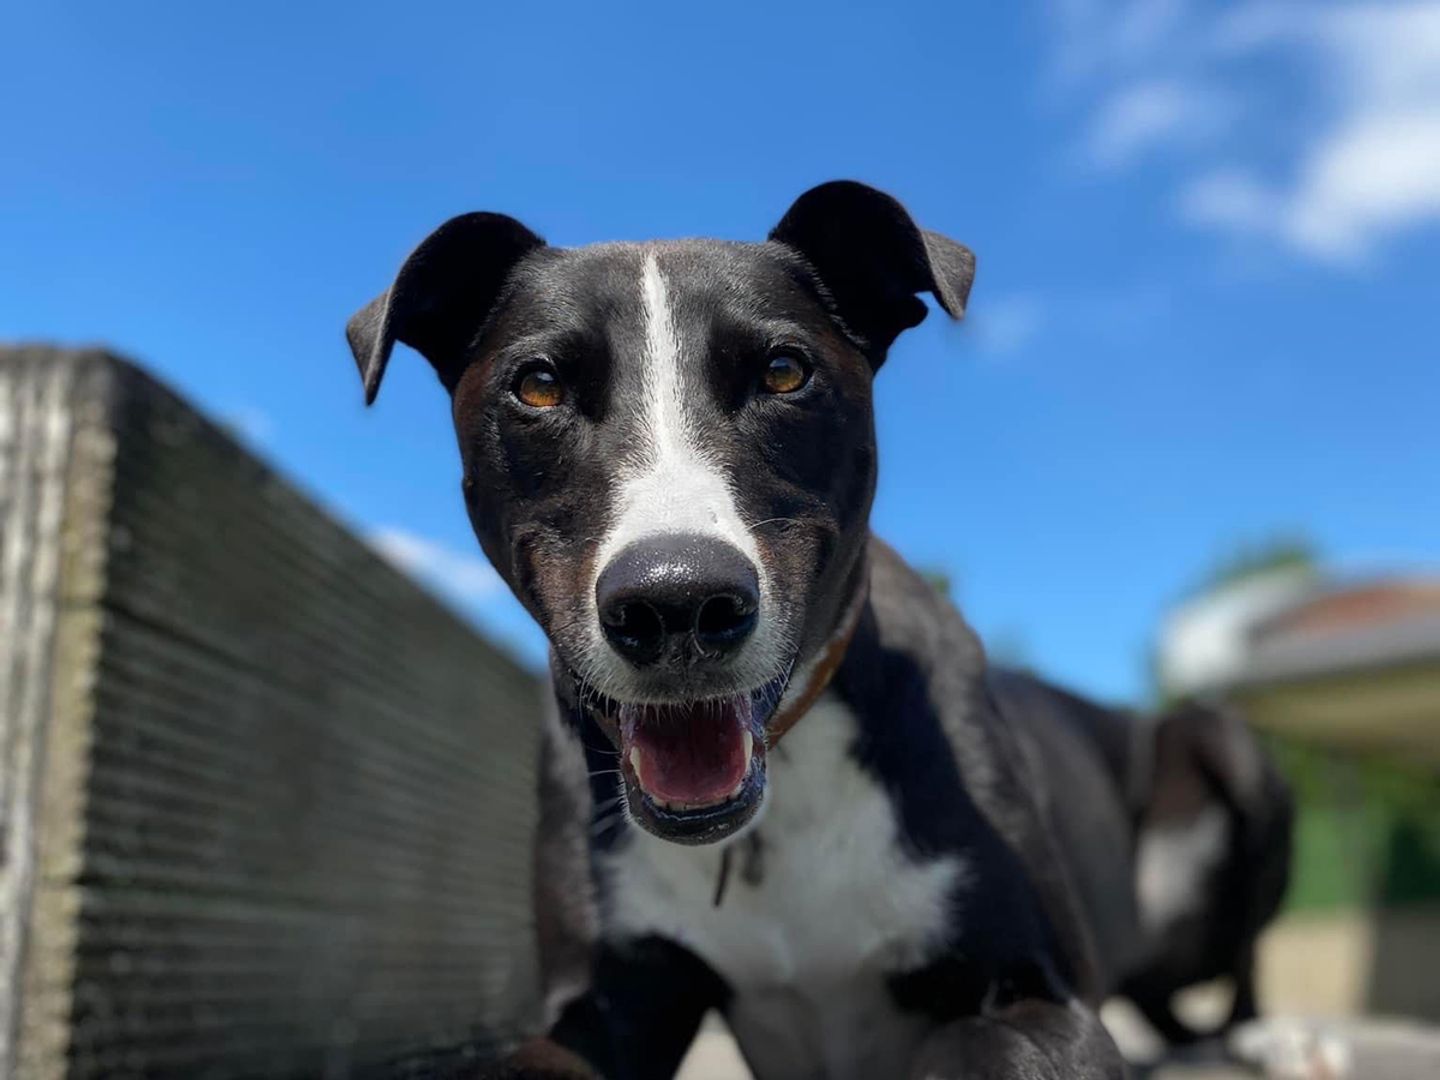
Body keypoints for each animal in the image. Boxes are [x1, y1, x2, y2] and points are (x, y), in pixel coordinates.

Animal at [345, 182, 1284, 1077]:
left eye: (784, 371)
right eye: (538, 385)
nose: (676, 603)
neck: (775, 804)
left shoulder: (1042, 999)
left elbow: (972, 1048)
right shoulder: (605, 1002)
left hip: (1227, 747)